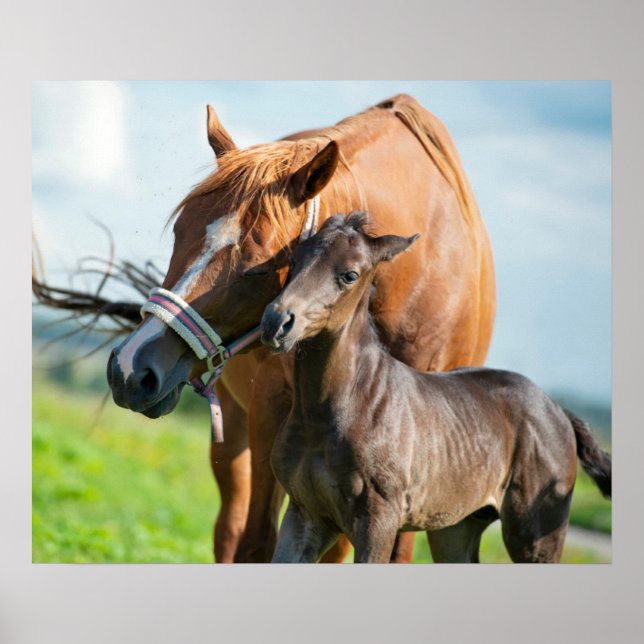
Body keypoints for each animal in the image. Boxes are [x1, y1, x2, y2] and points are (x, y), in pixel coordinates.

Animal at [106, 94, 496, 562]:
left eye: (261, 264)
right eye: (179, 232)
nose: (130, 369)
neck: (419, 271)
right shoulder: (271, 410)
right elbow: (256, 543)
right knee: (229, 530)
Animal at [261, 214, 611, 563]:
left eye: (350, 275)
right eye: (295, 259)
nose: (276, 322)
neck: (328, 412)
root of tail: (558, 410)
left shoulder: (378, 521)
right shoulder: (306, 516)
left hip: (535, 536)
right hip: (457, 528)